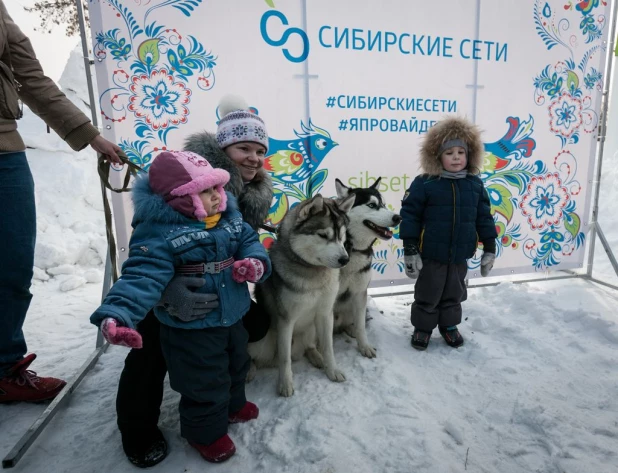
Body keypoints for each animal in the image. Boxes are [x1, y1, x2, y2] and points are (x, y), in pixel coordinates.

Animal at [244, 192, 352, 394]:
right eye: (323, 235)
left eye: (342, 236)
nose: (345, 259)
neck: (314, 274)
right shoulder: (286, 321)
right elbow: (284, 358)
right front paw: (285, 384)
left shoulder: (325, 313)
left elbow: (328, 347)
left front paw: (332, 370)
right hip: (263, 341)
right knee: (254, 357)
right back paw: (250, 370)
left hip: (312, 329)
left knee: (310, 346)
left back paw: (317, 357)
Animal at [332, 179, 400, 356]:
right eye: (371, 205)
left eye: (383, 205)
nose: (398, 217)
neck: (352, 249)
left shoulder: (359, 292)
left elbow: (362, 326)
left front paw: (364, 347)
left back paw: (351, 330)